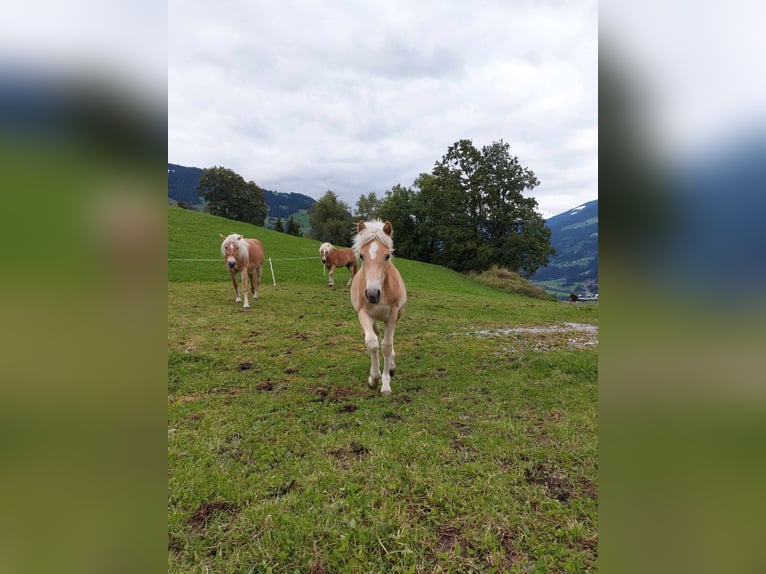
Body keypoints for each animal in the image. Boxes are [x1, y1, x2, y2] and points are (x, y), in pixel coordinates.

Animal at [350, 219, 404, 396]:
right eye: (361, 255)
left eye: (387, 256)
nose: (372, 294)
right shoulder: (363, 313)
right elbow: (372, 342)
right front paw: (373, 379)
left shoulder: (393, 313)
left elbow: (387, 346)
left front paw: (385, 384)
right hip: (373, 318)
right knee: (376, 334)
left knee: (389, 338)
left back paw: (391, 366)